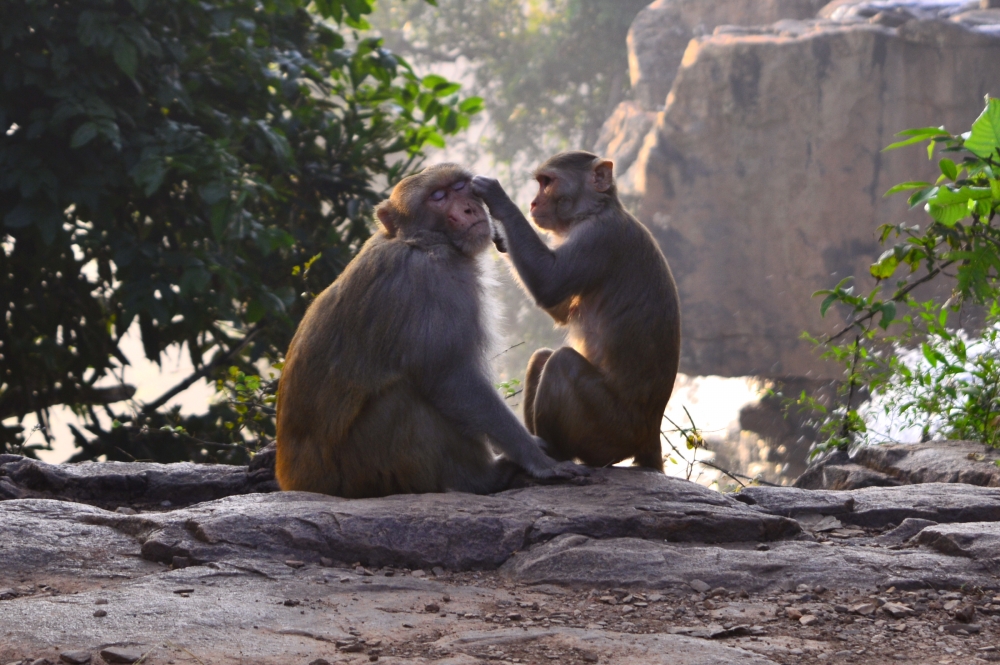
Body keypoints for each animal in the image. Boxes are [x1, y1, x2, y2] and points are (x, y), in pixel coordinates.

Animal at [274, 163, 587, 498]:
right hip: (361, 472)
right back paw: (483, 478)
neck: (421, 241)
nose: (468, 208)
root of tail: (297, 482)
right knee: (405, 397)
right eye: (437, 197)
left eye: (460, 187)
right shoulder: (430, 282)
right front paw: (539, 461)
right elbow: (450, 378)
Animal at [471, 151, 681, 472]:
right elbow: (559, 309)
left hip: (610, 431)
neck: (595, 211)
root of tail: (649, 436)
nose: (533, 203)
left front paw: (498, 198)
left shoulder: (598, 237)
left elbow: (550, 284)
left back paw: (554, 454)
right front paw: (499, 233)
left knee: (561, 363)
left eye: (547, 183)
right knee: (543, 357)